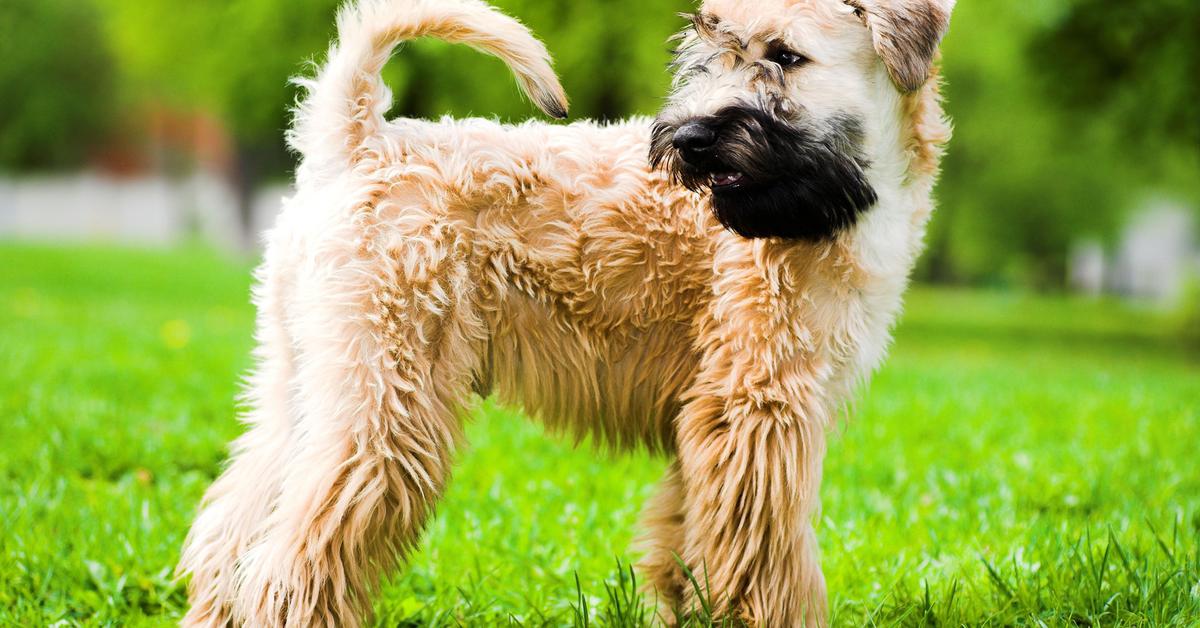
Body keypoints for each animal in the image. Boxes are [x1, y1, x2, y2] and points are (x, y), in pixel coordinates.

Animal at [177, 0, 950, 624]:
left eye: (786, 55)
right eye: (708, 48)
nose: (689, 140)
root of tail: (359, 141)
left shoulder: (708, 419)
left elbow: (689, 543)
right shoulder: (759, 408)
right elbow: (772, 558)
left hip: (307, 385)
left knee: (233, 534)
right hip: (388, 409)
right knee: (292, 560)